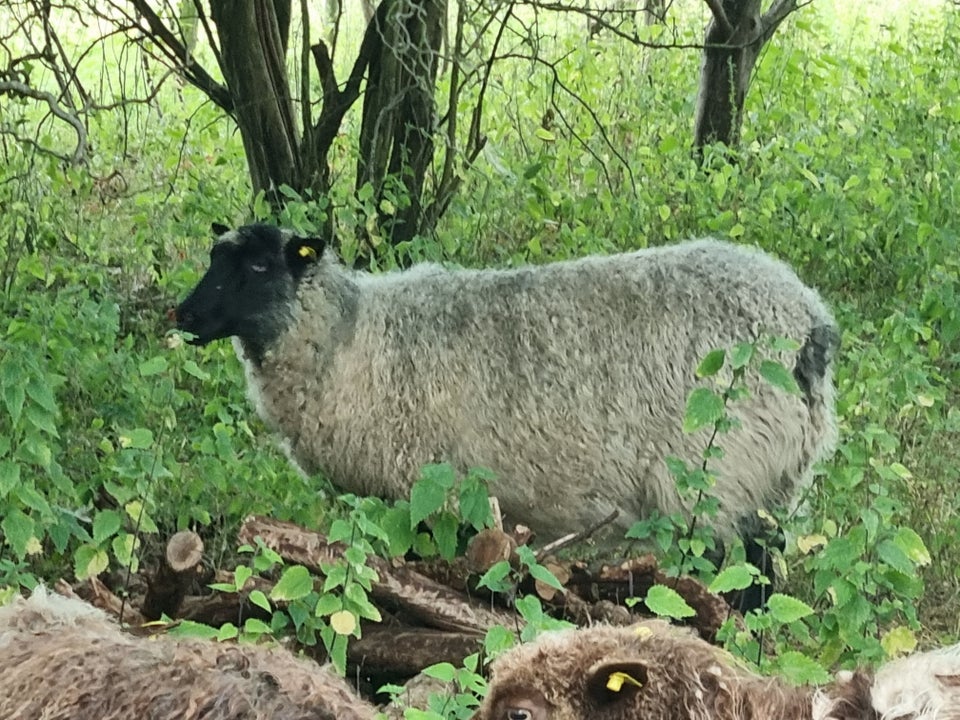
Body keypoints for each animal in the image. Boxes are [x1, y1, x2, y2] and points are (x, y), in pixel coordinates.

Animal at [176, 225, 836, 564]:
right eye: (215, 256)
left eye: (260, 267)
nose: (182, 315)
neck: (351, 339)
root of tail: (811, 321)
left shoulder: (426, 492)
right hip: (773, 479)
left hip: (723, 478)